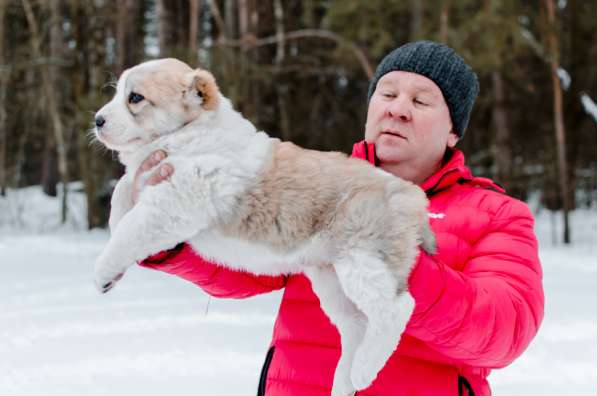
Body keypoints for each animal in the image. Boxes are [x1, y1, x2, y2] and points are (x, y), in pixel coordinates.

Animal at [93, 58, 434, 396]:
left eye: (135, 98)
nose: (97, 120)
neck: (191, 132)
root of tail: (411, 194)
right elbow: (123, 190)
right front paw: (114, 258)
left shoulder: (174, 200)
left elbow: (131, 228)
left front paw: (102, 273)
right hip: (330, 278)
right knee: (357, 325)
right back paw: (344, 381)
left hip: (362, 257)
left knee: (395, 309)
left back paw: (363, 371)